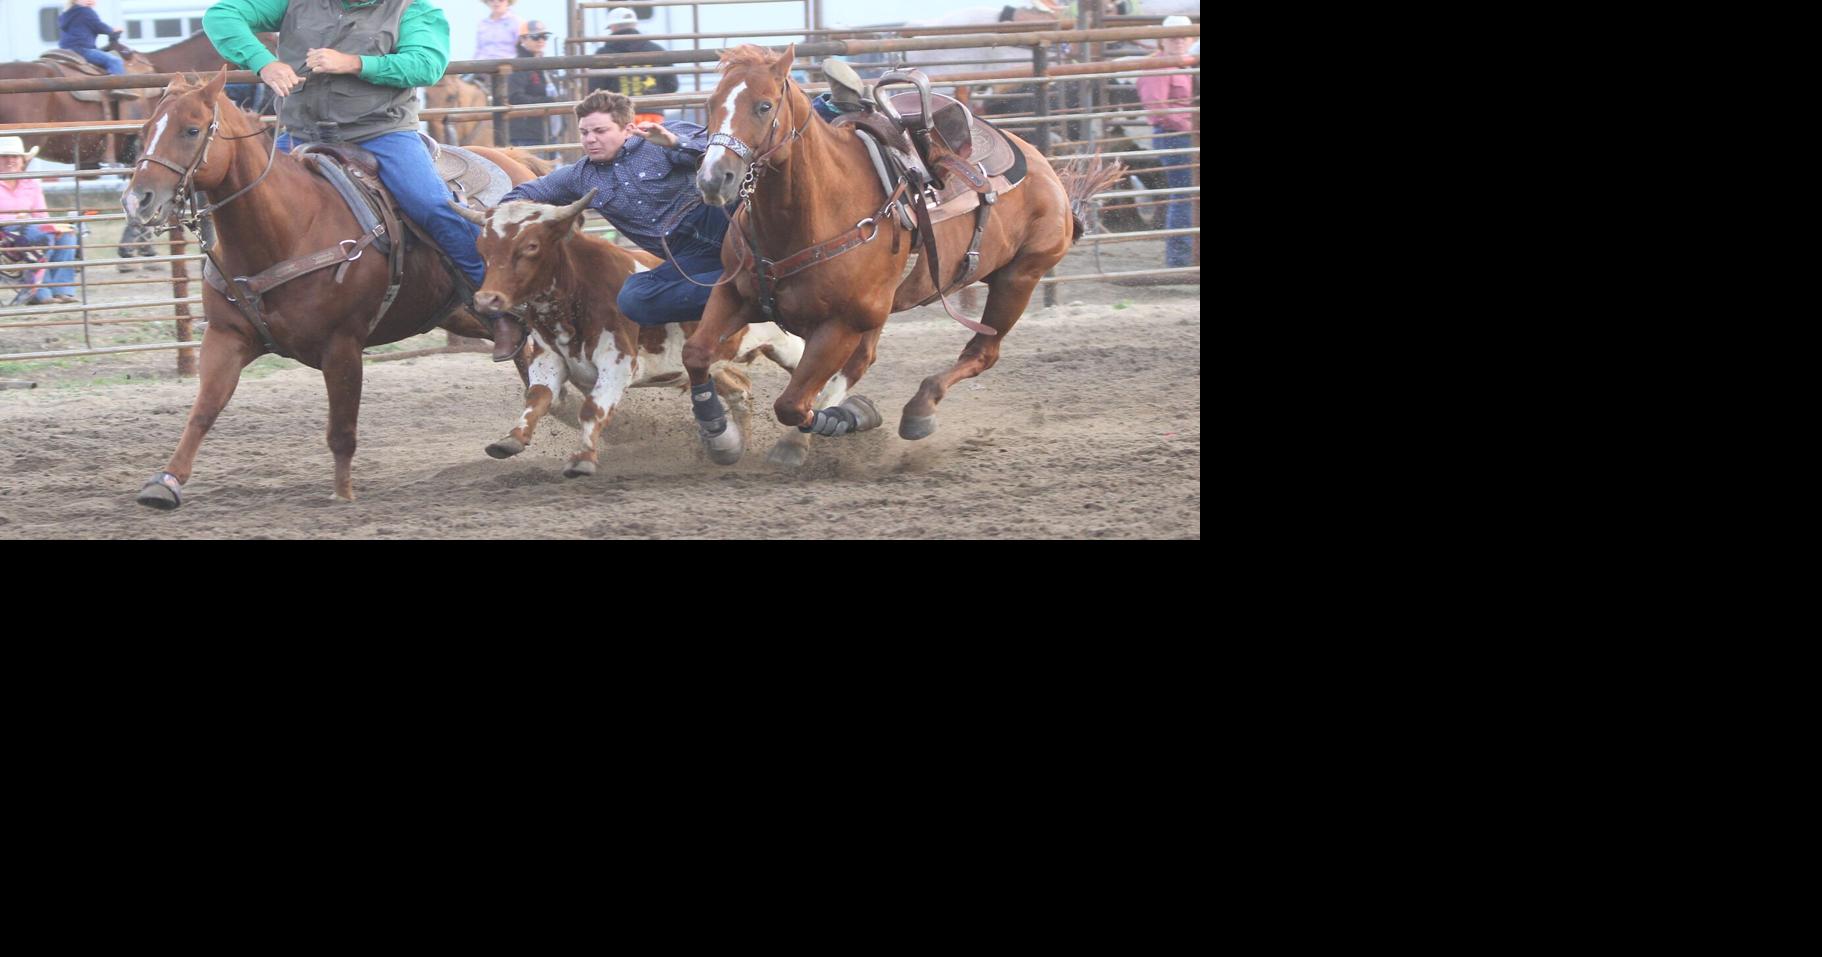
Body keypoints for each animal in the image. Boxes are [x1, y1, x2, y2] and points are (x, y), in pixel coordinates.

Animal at [124, 68, 539, 506]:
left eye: (191, 129)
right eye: (144, 130)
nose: (137, 200)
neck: (288, 228)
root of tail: (516, 158)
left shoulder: (342, 345)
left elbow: (342, 431)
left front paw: (343, 495)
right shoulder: (226, 336)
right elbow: (203, 410)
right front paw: (165, 482)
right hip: (462, 313)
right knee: (524, 355)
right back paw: (519, 435)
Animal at [685, 44, 1107, 463]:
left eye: (764, 106)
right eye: (711, 103)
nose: (713, 179)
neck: (814, 209)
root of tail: (1045, 169)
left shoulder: (841, 323)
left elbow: (792, 404)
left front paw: (842, 421)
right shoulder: (734, 293)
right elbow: (697, 354)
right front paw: (720, 435)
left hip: (1017, 279)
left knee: (981, 353)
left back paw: (919, 409)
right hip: (886, 308)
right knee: (863, 362)